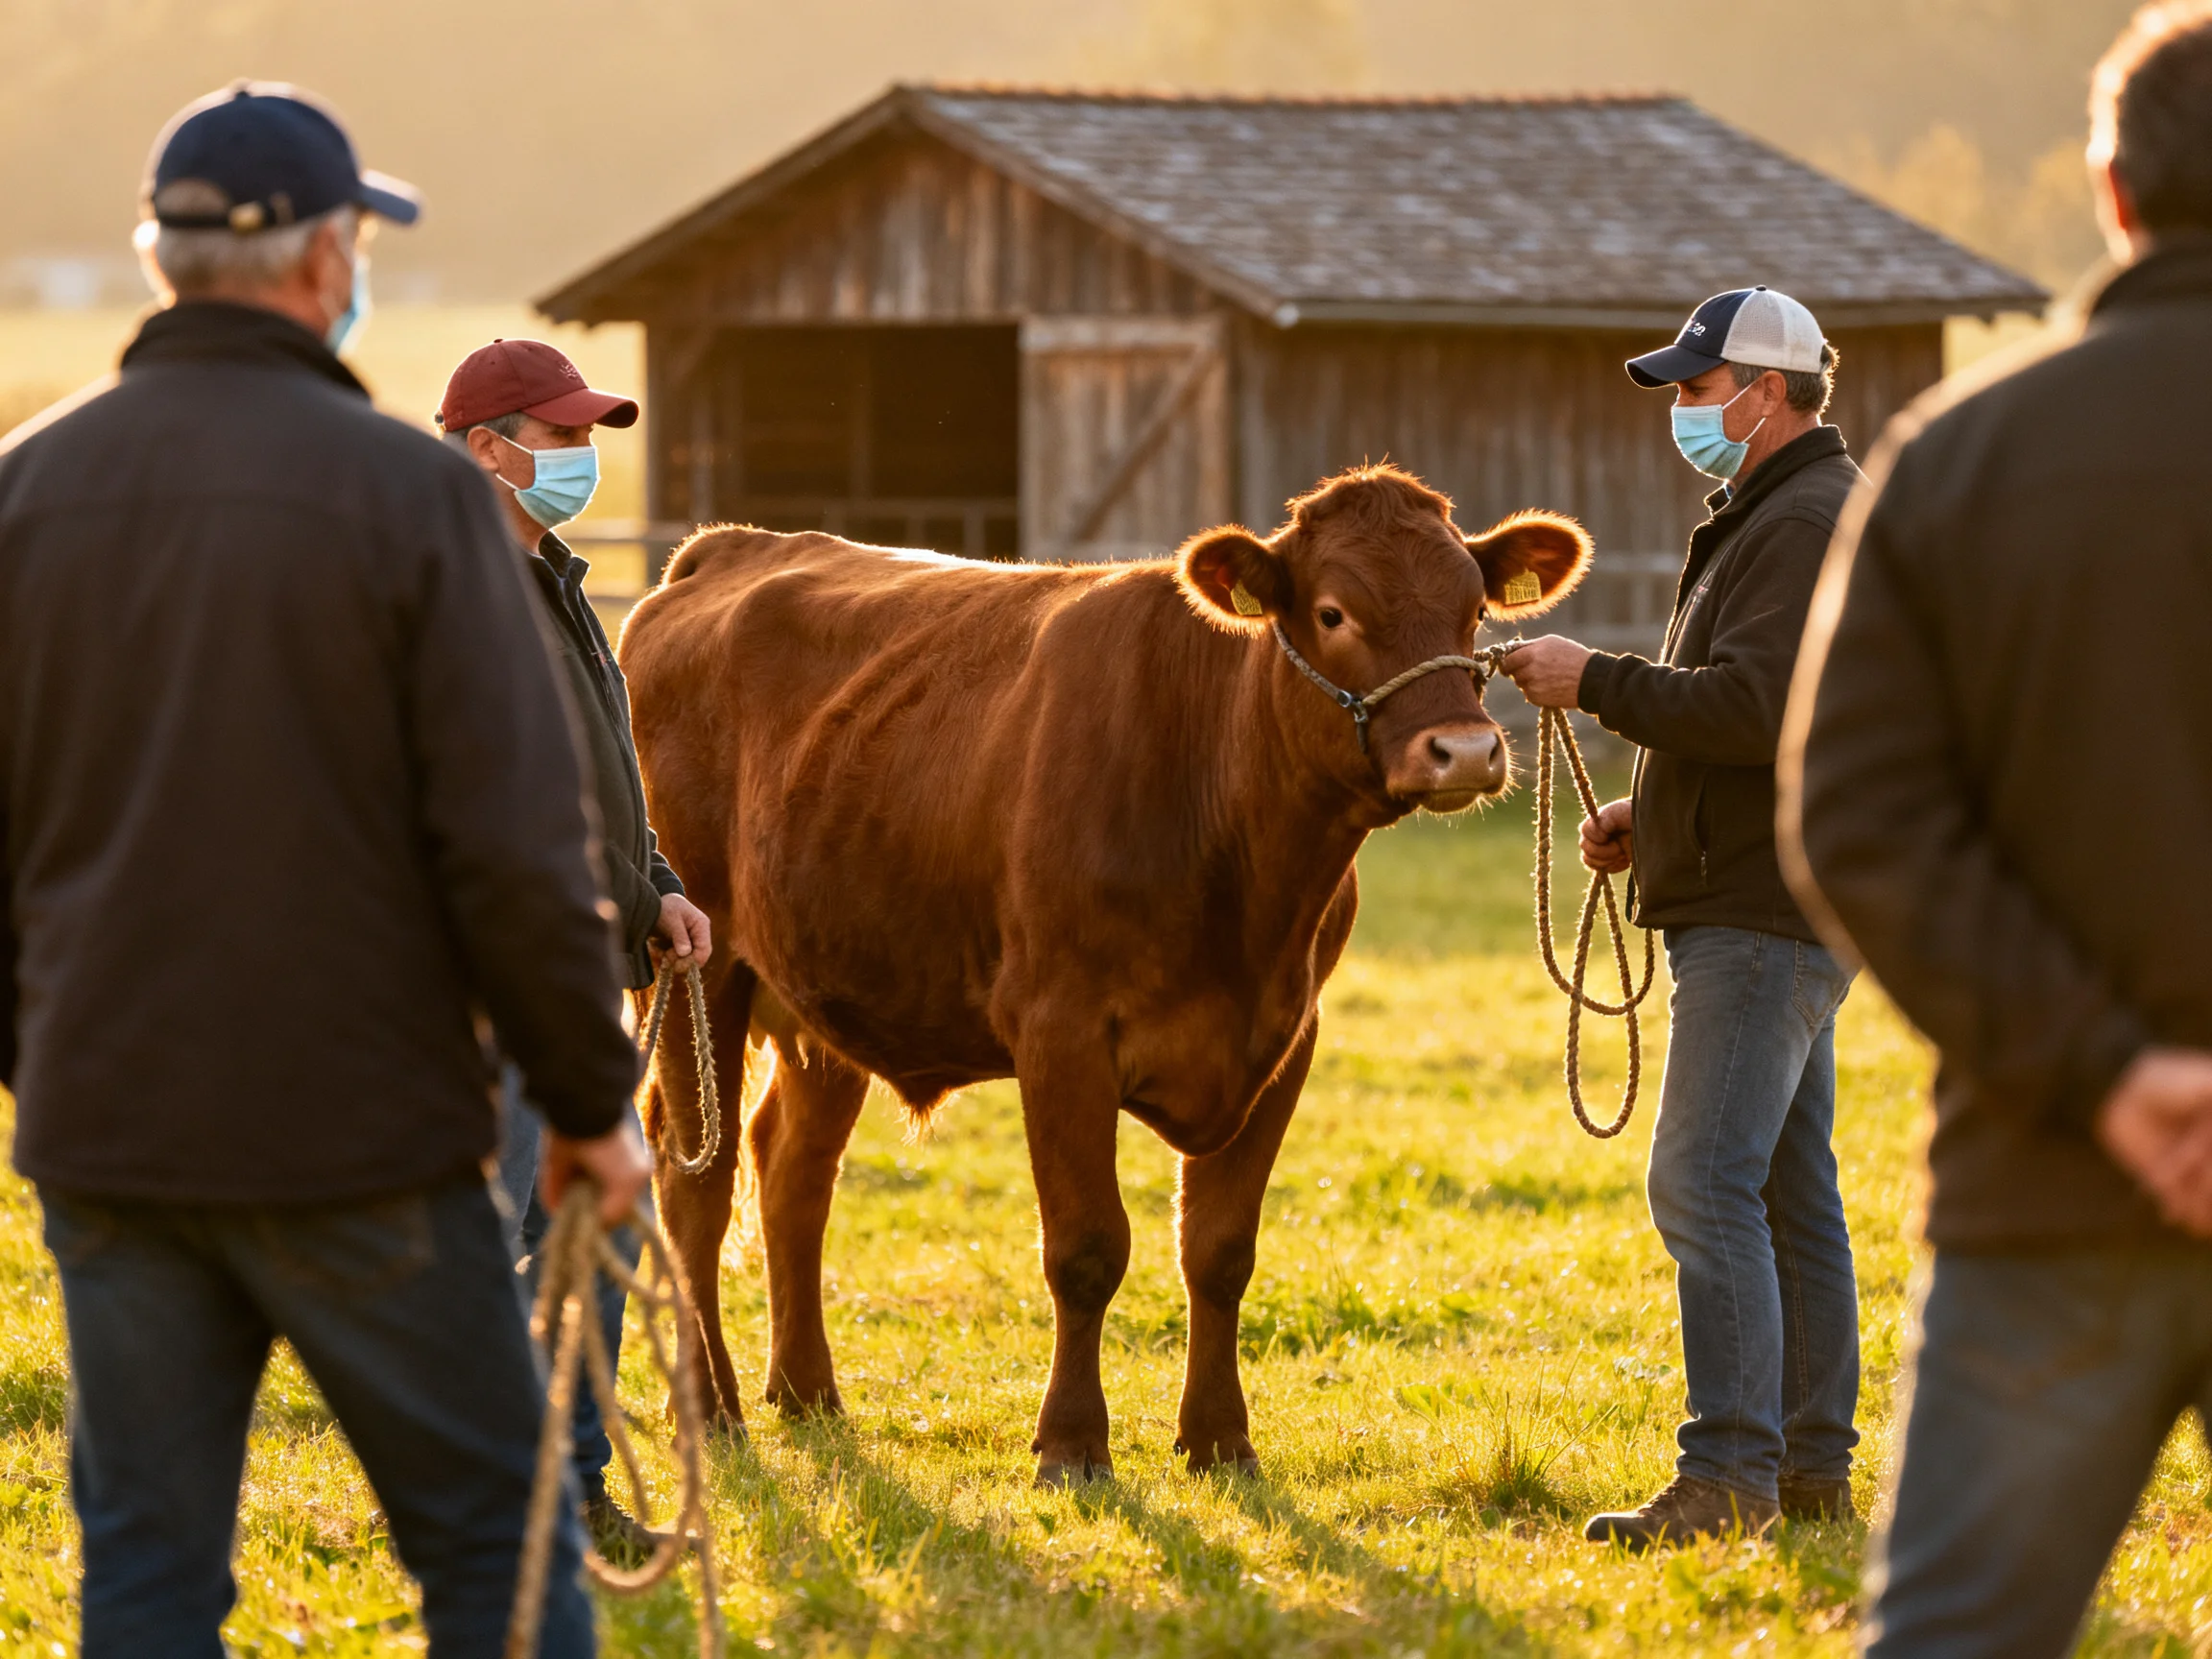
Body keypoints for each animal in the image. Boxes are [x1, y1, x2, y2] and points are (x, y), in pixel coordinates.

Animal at [621, 462, 1591, 1484]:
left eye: (1473, 609)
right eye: (1333, 612)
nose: (1465, 751)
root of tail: (732, 546)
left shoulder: (1287, 1038)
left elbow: (1219, 1251)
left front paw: (1218, 1438)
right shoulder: (1061, 1032)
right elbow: (1087, 1248)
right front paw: (1073, 1443)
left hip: (828, 989)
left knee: (792, 1172)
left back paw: (806, 1392)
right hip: (697, 972)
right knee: (694, 1185)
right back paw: (712, 1407)